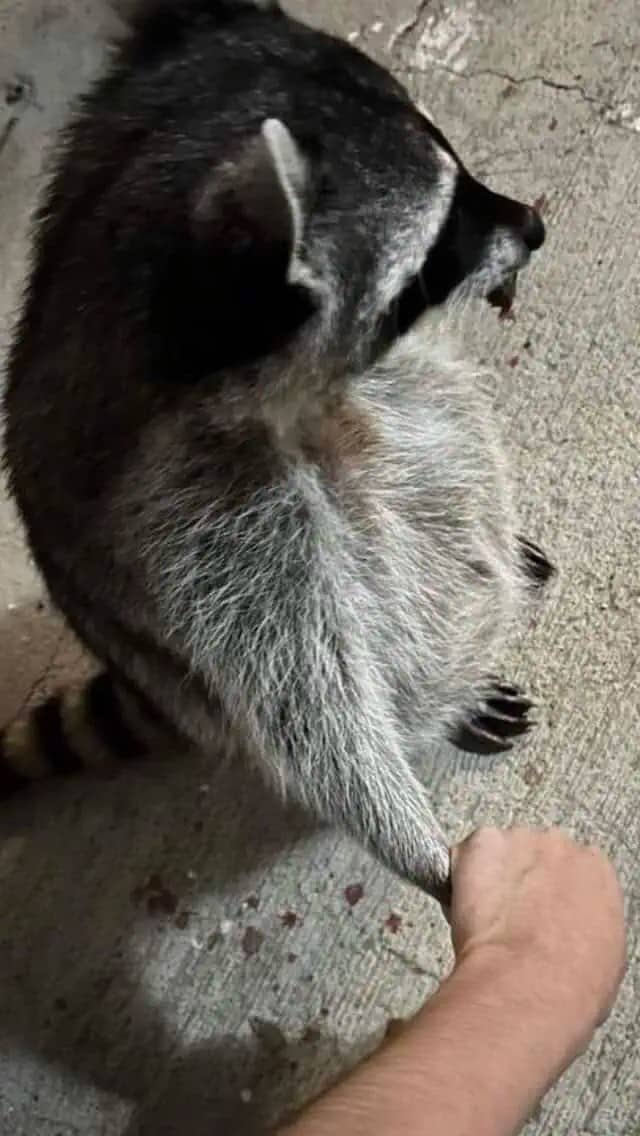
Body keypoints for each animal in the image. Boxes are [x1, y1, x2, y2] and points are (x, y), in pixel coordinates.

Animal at [3, 0, 551, 901]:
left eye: (461, 168)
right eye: (439, 244)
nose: (534, 226)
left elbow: (441, 425)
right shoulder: (193, 512)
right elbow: (308, 698)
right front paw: (425, 851)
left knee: (440, 414)